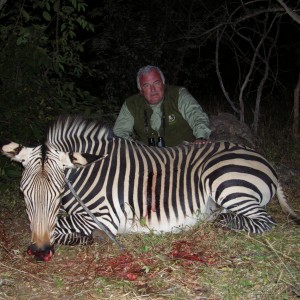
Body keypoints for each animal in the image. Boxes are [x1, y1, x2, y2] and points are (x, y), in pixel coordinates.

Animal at [1, 116, 298, 262]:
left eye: (58, 192)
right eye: (24, 194)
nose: (40, 252)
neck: (86, 173)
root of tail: (263, 159)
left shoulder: (105, 217)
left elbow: (61, 226)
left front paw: (86, 238)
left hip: (223, 179)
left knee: (264, 221)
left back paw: (223, 221)